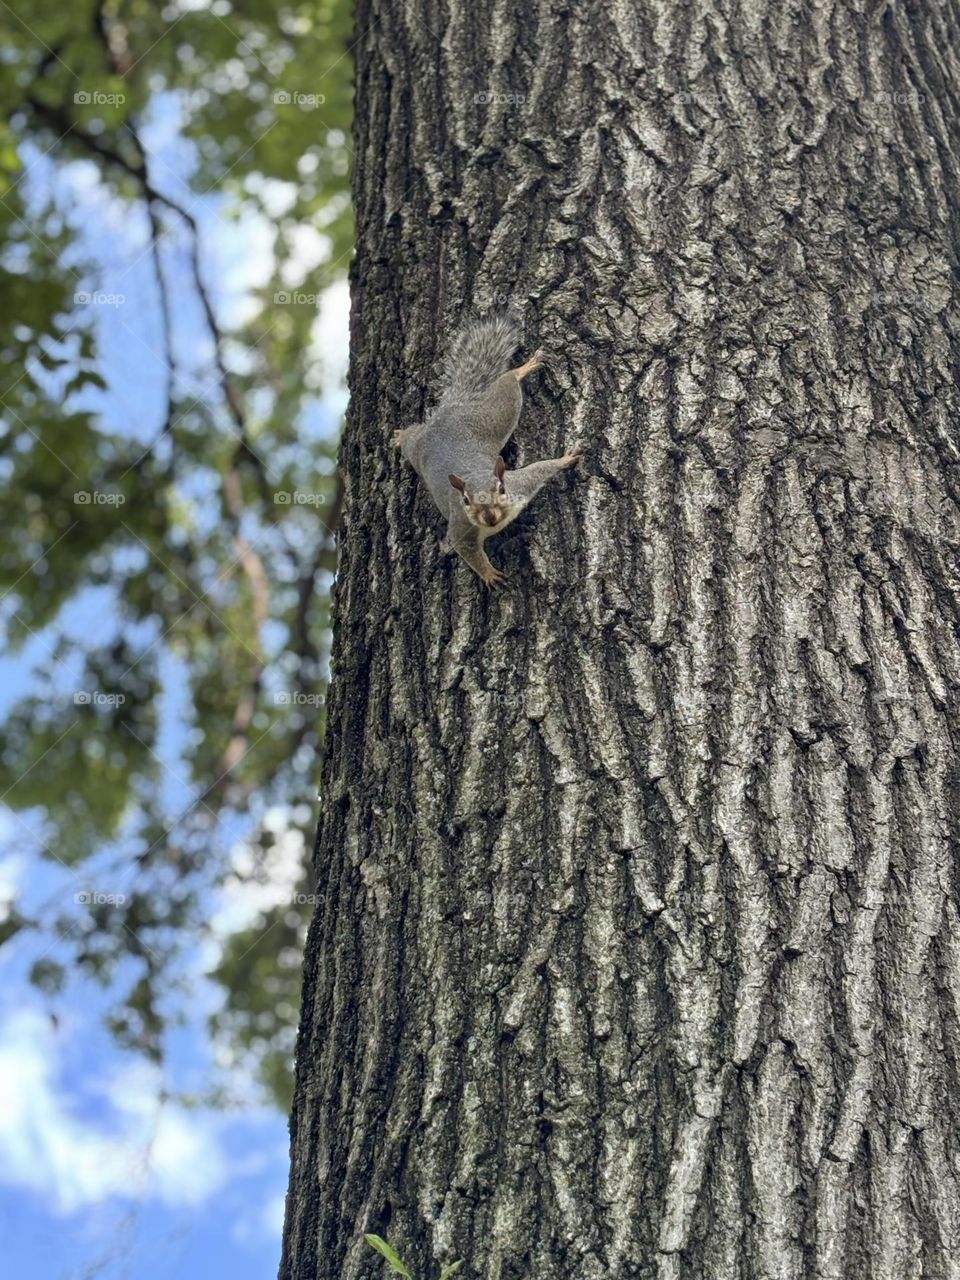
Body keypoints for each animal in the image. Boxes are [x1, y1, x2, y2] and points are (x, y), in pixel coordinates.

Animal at [393, 314, 583, 588]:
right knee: (412, 436)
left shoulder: (520, 484)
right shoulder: (461, 528)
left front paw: (566, 460)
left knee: (508, 383)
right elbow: (467, 551)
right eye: (465, 500)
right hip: (420, 448)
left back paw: (525, 367)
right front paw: (489, 573)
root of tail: (448, 412)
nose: (490, 517)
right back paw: (400, 436)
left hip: (494, 417)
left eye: (501, 489)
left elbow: (540, 468)